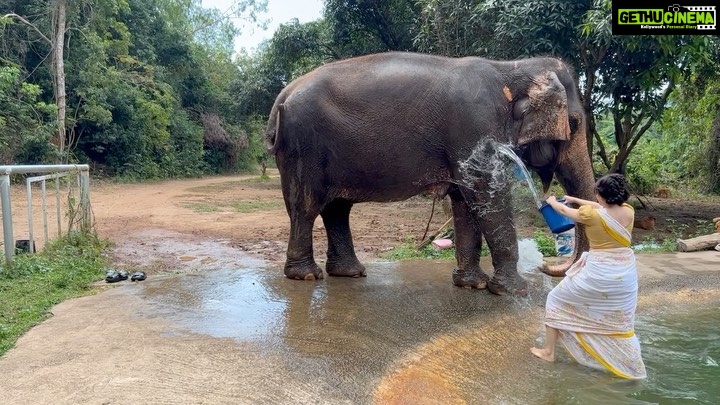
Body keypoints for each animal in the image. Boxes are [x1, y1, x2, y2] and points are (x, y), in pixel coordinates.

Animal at [264, 51, 595, 295]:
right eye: (575, 123)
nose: (545, 268)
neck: (510, 67)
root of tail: (282, 94)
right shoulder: (475, 126)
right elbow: (485, 194)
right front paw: (515, 291)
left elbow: (465, 201)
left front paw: (472, 285)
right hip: (304, 146)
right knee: (306, 206)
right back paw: (306, 276)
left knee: (337, 208)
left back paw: (349, 273)